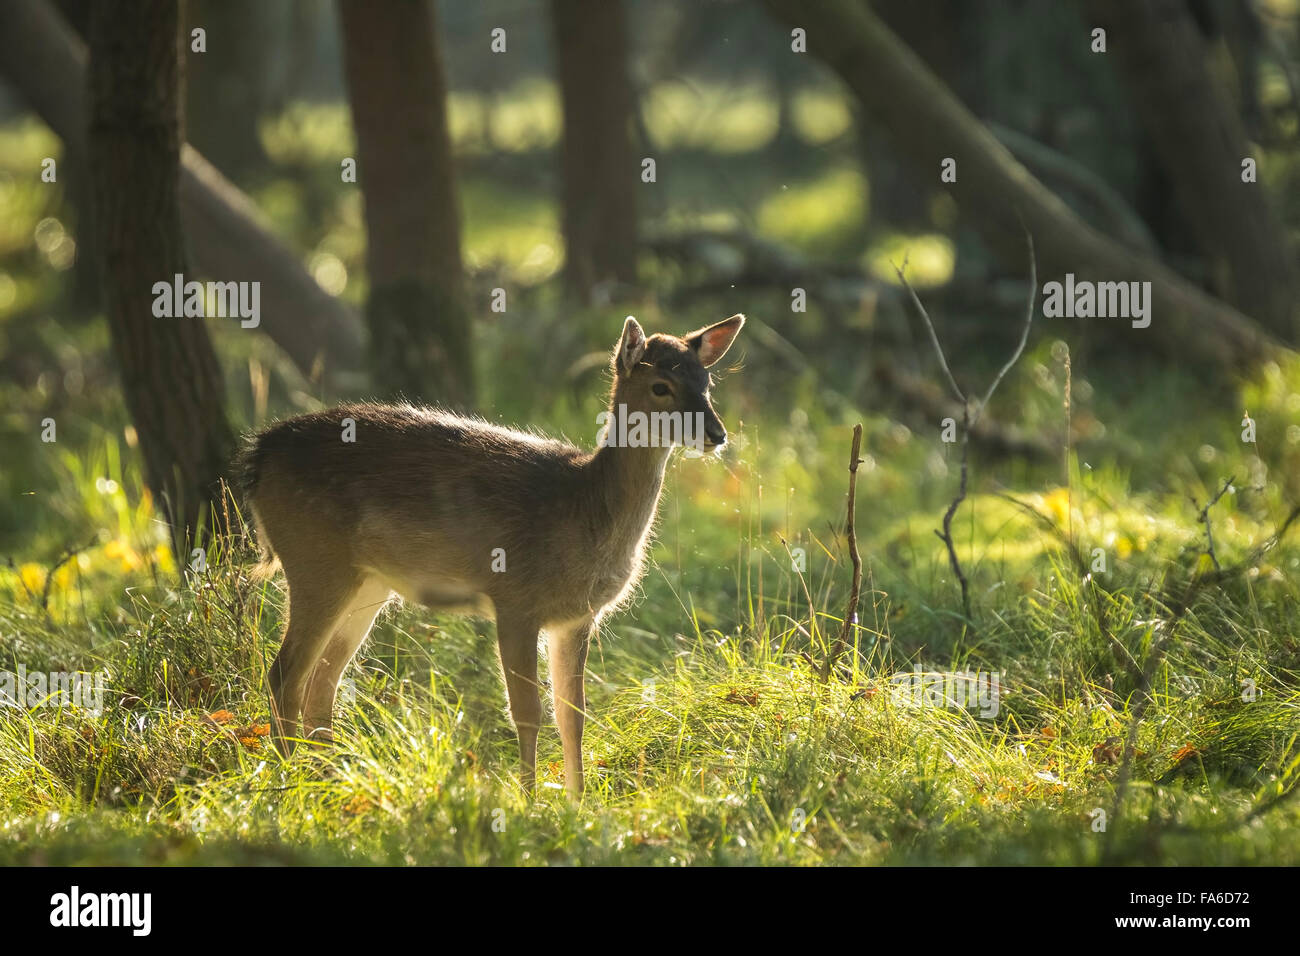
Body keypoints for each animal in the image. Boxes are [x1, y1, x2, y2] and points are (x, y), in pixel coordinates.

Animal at [233, 316, 743, 801]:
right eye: (660, 386)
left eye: (706, 383)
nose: (717, 435)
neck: (583, 509)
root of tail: (258, 456)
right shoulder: (516, 599)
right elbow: (527, 711)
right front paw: (529, 801)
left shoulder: (578, 617)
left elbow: (573, 714)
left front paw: (580, 804)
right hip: (315, 560)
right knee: (285, 673)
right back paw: (290, 778)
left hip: (368, 584)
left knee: (324, 682)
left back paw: (329, 779)